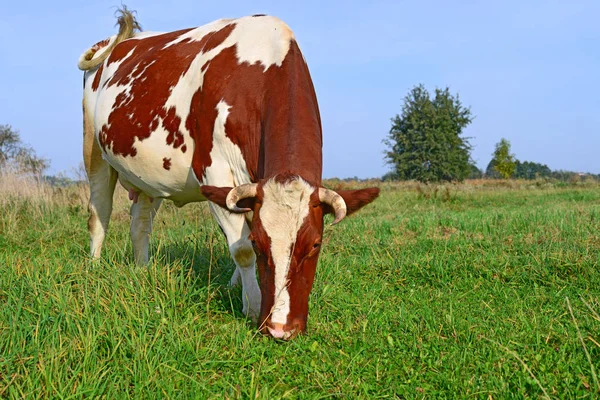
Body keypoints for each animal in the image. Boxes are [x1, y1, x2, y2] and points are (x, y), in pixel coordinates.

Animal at [78, 7, 380, 340]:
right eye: (261, 245)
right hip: (93, 149)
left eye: (316, 244)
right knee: (99, 214)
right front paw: (253, 306)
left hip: (148, 174)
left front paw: (238, 289)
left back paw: (142, 271)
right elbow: (242, 248)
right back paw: (93, 268)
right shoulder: (215, 174)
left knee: (140, 224)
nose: (281, 329)